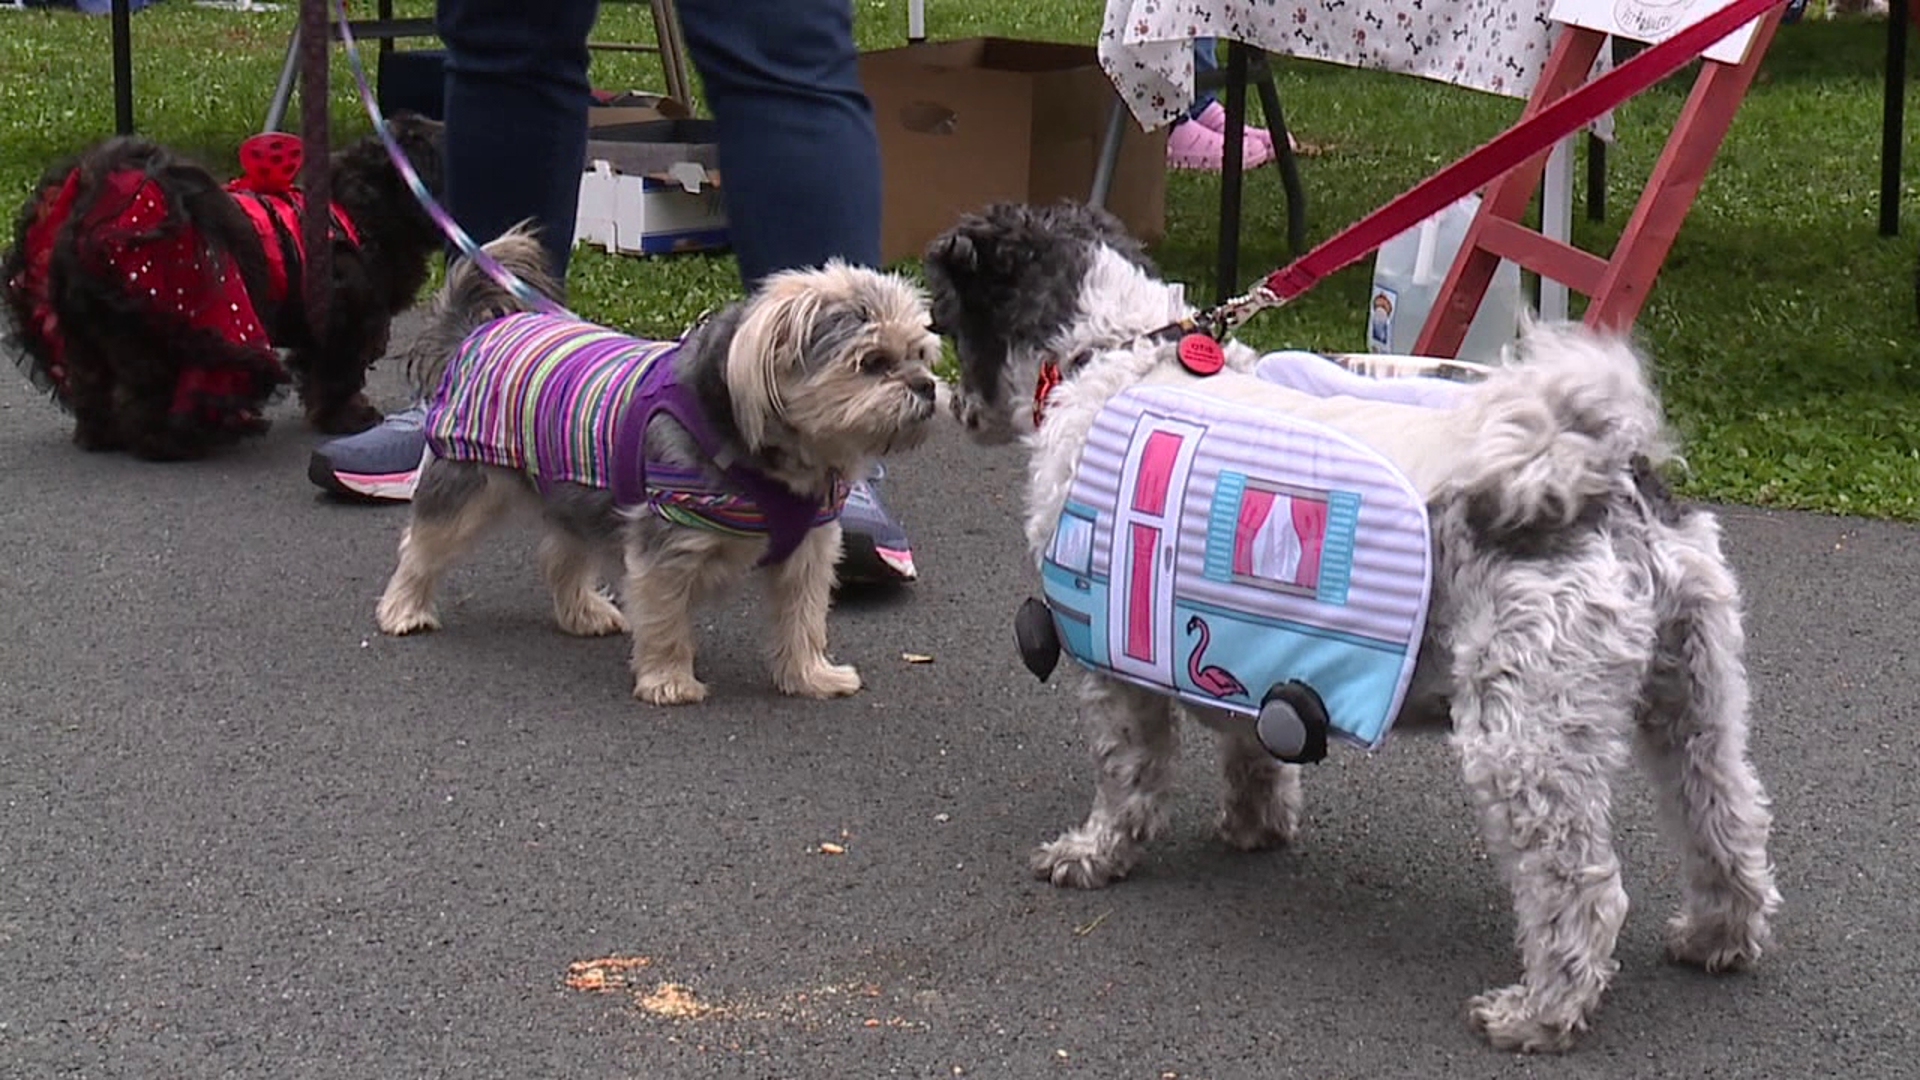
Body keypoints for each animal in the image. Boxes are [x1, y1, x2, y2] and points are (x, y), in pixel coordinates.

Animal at [5, 114, 445, 457]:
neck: (359, 211)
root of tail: (91, 229)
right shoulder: (345, 325)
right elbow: (339, 377)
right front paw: (348, 416)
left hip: (86, 337)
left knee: (92, 387)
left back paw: (101, 435)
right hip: (154, 337)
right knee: (146, 395)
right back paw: (168, 441)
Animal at [921, 201, 1774, 1053]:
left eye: (944, 316)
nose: (947, 402)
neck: (1113, 355)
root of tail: (1606, 481)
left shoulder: (1110, 666)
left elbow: (1127, 777)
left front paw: (1095, 854)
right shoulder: (1241, 644)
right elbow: (1251, 751)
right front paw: (1255, 825)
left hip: (1524, 738)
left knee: (1582, 888)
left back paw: (1538, 1011)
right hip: (1695, 703)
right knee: (1728, 822)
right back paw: (1717, 936)